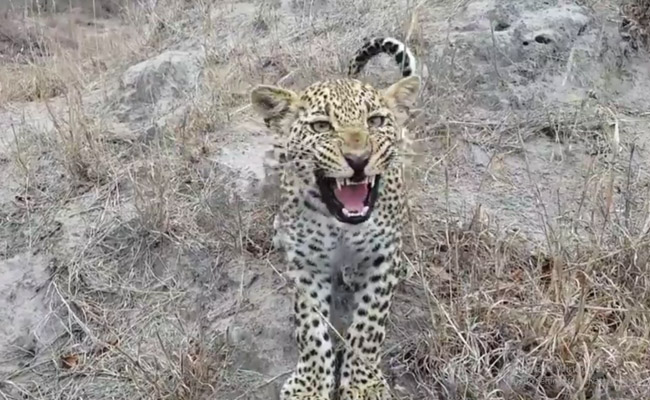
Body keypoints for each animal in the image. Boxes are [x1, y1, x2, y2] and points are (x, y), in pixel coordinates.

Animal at [250, 37, 420, 400]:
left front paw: (363, 383)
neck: (342, 227)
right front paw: (310, 384)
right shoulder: (307, 266)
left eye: (375, 121)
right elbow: (310, 328)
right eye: (321, 126)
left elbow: (369, 325)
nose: (359, 159)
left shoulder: (382, 260)